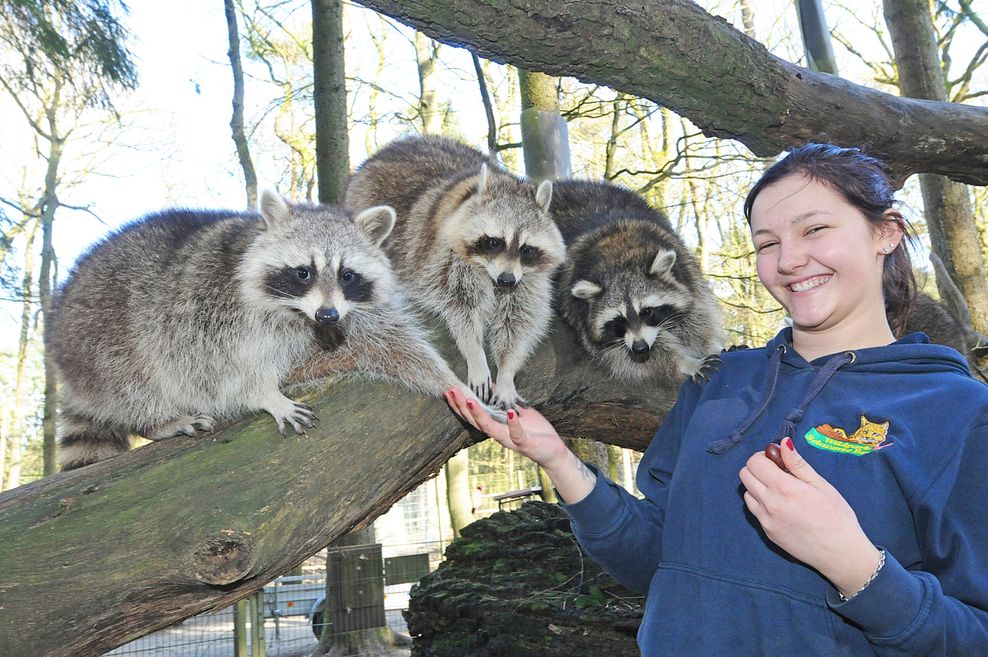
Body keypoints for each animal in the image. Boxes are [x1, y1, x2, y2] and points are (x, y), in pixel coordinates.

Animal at [50, 190, 490, 472]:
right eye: (303, 272)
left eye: (347, 275)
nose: (327, 315)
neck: (297, 313)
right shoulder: (205, 312)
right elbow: (217, 373)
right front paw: (263, 394)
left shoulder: (348, 316)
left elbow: (389, 343)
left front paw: (451, 383)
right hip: (102, 339)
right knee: (139, 382)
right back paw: (157, 420)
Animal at [346, 135, 564, 408]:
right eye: (495, 242)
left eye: (527, 249)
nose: (506, 280)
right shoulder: (443, 259)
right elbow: (460, 306)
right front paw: (475, 352)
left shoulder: (527, 279)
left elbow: (519, 320)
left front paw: (507, 371)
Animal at [552, 179, 720, 384]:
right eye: (618, 320)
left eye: (647, 311)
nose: (640, 347)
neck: (619, 258)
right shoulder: (579, 314)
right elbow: (629, 356)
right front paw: (685, 362)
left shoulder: (686, 269)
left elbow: (696, 318)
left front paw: (710, 345)